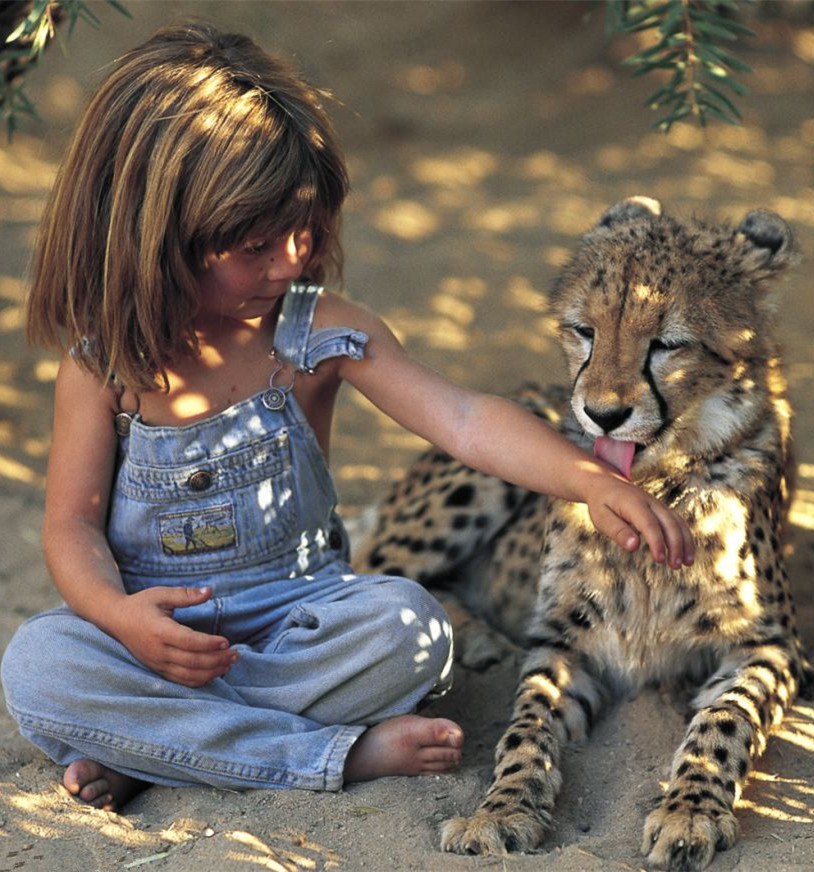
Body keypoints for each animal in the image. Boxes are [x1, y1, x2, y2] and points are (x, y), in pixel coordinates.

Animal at [356, 199, 814, 872]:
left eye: (667, 343)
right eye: (584, 331)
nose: (602, 414)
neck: (653, 490)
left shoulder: (771, 647)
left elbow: (725, 720)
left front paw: (691, 812)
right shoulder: (564, 642)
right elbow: (527, 725)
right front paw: (501, 811)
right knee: (372, 569)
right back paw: (476, 639)